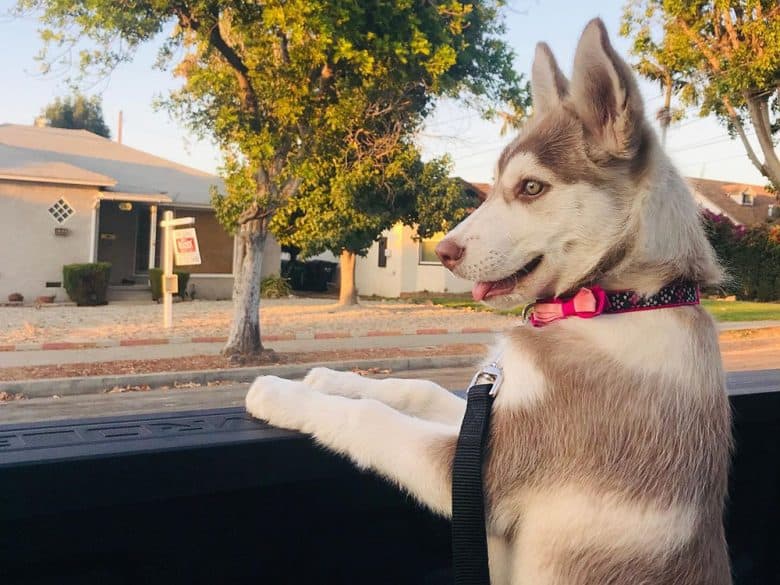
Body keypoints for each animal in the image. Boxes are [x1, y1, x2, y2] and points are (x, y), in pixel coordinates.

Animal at [248, 19, 732, 584]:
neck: (619, 302)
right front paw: (331, 379)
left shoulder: (478, 476)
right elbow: (417, 389)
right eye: (498, 185)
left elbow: (369, 418)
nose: (443, 252)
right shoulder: (484, 420)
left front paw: (278, 394)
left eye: (530, 188)